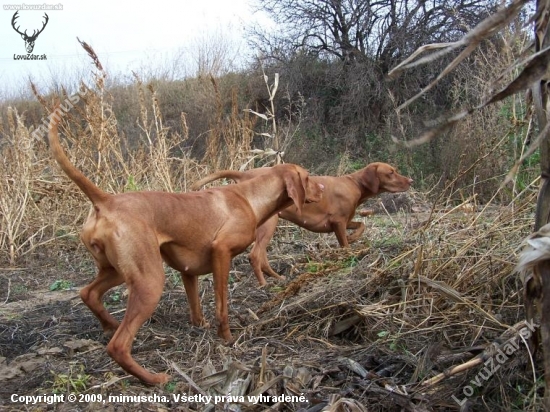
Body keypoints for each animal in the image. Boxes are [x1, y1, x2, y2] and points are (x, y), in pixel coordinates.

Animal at [47, 105, 326, 384]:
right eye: (308, 177)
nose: (323, 187)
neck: (249, 197)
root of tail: (105, 201)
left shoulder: (188, 271)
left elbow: (196, 308)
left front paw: (201, 327)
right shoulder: (221, 253)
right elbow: (222, 306)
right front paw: (227, 339)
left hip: (117, 271)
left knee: (88, 293)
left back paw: (109, 326)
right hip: (150, 282)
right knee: (118, 345)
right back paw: (153, 378)